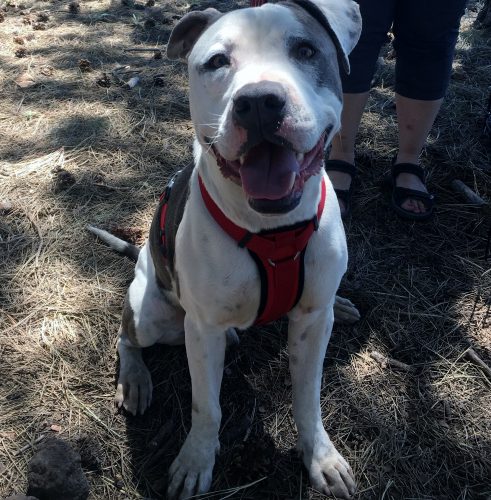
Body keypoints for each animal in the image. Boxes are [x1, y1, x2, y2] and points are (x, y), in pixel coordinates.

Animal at [90, 1, 364, 498]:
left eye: (305, 50)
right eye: (217, 61)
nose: (258, 102)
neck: (272, 230)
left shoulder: (312, 323)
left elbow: (308, 396)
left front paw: (320, 457)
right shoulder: (201, 332)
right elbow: (207, 407)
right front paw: (196, 460)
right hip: (150, 313)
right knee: (127, 336)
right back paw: (135, 380)